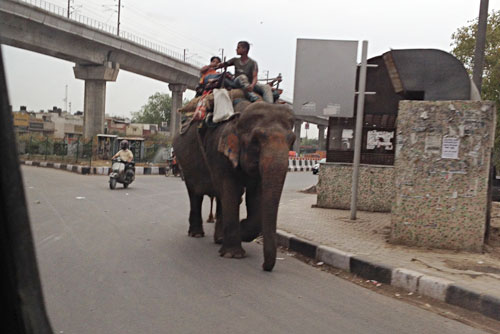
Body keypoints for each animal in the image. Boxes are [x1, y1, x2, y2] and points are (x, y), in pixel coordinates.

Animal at [173, 101, 294, 272]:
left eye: (292, 141)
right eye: (256, 141)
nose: (265, 266)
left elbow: (255, 196)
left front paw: (241, 231)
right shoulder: (218, 153)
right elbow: (231, 191)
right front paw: (233, 254)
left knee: (219, 197)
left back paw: (219, 238)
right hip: (186, 165)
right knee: (195, 194)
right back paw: (196, 234)